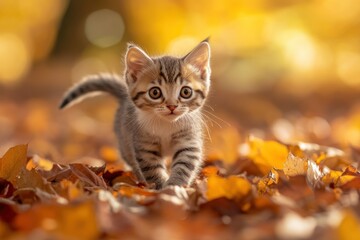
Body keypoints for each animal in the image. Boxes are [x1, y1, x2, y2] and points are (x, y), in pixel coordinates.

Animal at [59, 39, 211, 189]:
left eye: (186, 92)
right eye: (155, 92)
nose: (172, 106)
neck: (166, 125)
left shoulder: (189, 140)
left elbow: (184, 164)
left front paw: (175, 186)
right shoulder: (143, 145)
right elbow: (152, 169)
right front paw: (160, 188)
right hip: (125, 142)